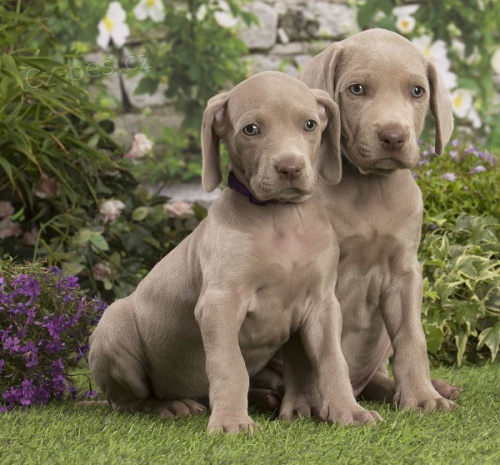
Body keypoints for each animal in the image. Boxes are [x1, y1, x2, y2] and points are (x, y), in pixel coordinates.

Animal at [88, 70, 380, 434]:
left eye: (310, 124)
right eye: (250, 130)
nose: (290, 167)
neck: (280, 217)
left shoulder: (323, 304)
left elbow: (332, 360)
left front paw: (349, 411)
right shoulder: (220, 303)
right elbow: (229, 364)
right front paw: (230, 421)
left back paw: (264, 398)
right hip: (113, 324)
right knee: (128, 401)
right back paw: (169, 406)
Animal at [252, 29, 458, 412]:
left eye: (417, 91)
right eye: (357, 89)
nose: (394, 137)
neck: (370, 187)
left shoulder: (405, 272)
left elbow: (412, 337)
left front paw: (423, 397)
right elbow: (314, 350)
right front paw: (310, 404)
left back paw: (429, 388)